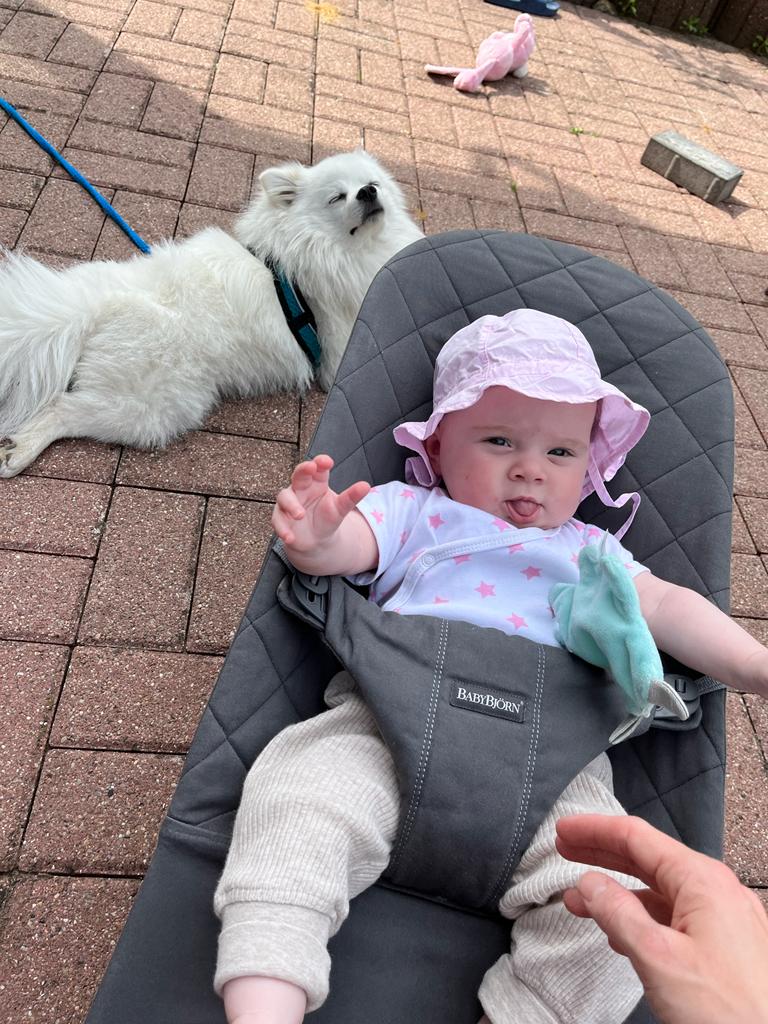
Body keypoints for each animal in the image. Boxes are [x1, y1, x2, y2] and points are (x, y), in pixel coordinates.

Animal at [0, 150, 423, 477]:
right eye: (337, 197)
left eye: (372, 183)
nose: (367, 192)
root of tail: (97, 307)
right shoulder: (337, 356)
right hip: (153, 407)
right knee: (62, 408)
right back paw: (20, 451)